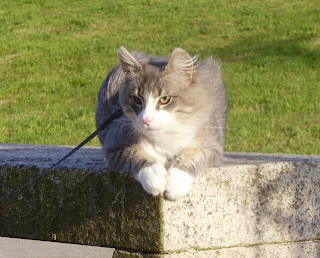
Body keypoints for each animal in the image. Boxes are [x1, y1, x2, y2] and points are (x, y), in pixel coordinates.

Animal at [95, 46, 228, 202]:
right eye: (137, 100)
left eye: (164, 99)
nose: (146, 120)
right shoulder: (114, 147)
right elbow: (136, 155)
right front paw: (154, 176)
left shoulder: (213, 146)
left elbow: (193, 156)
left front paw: (176, 183)